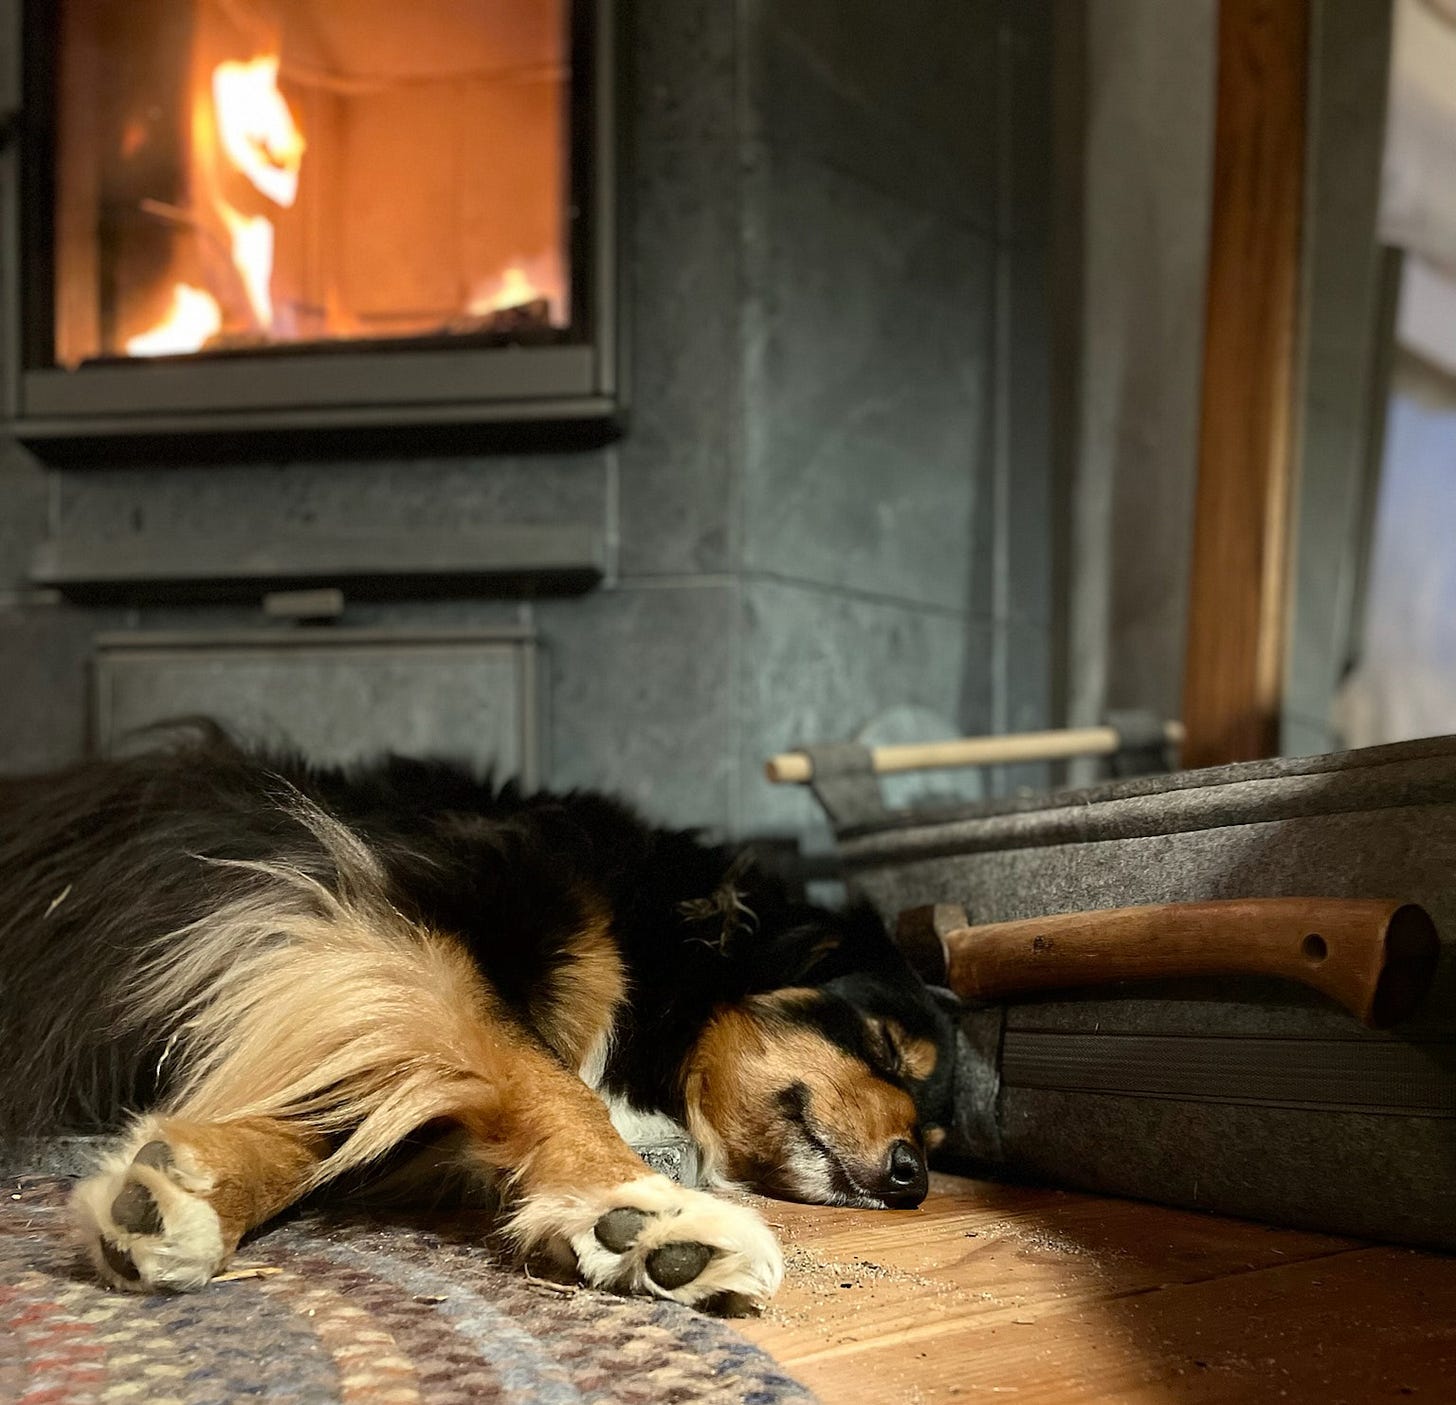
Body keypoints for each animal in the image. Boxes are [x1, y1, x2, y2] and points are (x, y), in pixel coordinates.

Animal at [0, 727, 960, 1310]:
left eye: (939, 1136)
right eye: (886, 1047)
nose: (912, 1176)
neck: (654, 928)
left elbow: (323, 1132)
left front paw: (185, 1189)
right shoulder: (393, 919)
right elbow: (550, 1077)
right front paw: (647, 1213)